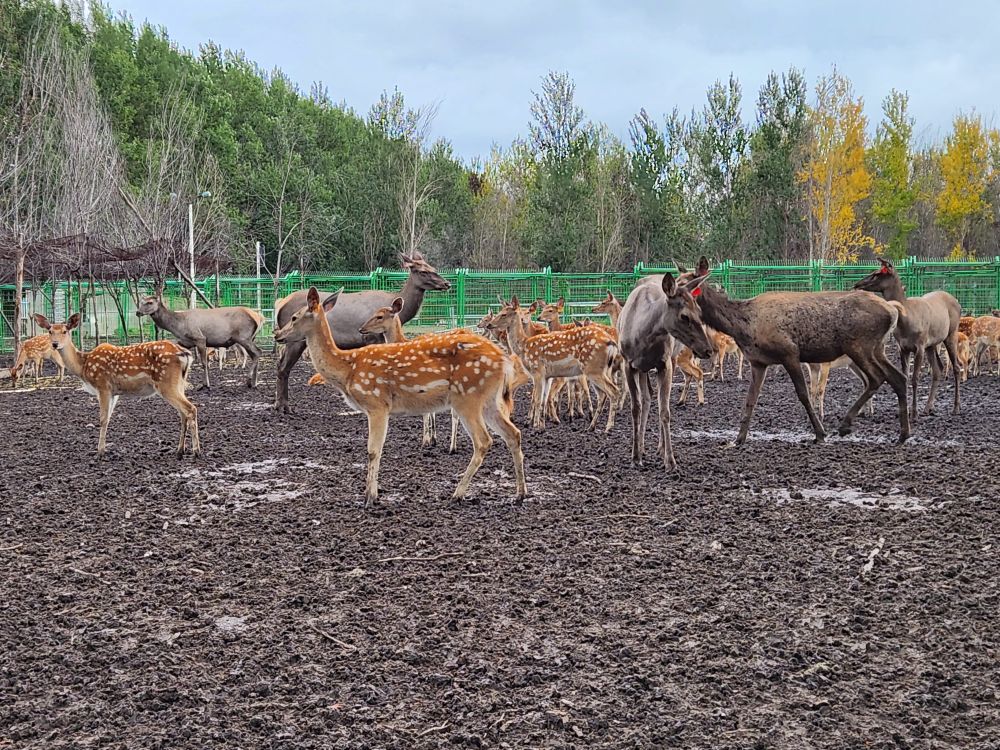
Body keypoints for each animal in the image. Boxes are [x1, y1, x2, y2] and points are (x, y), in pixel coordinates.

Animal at [33, 312, 201, 458]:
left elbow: (102, 419)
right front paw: (103, 449)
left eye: (65, 331)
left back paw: (196, 451)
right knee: (183, 413)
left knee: (190, 408)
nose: (55, 344)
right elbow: (108, 418)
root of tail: (186, 354)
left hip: (166, 382)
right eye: (49, 331)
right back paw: (180, 450)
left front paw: (100, 452)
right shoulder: (114, 392)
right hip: (179, 383)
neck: (83, 366)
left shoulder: (103, 385)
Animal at [274, 286, 524, 506]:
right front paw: (371, 495)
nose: (277, 335)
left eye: (294, 317)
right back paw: (520, 494)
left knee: (484, 441)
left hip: (468, 397)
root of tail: (503, 359)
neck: (347, 369)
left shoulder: (377, 403)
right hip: (489, 400)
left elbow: (373, 450)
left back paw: (457, 494)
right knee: (513, 433)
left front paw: (370, 498)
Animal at [684, 258, 912, 446]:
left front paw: (820, 433)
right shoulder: (758, 362)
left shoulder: (790, 354)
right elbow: (750, 399)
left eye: (688, 285)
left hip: (859, 346)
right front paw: (738, 439)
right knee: (898, 377)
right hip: (877, 349)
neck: (743, 327)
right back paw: (903, 434)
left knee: (877, 378)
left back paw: (845, 425)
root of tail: (893, 311)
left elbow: (803, 394)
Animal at [852, 260, 960, 420]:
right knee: (937, 369)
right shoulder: (902, 348)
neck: (906, 319)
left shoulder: (919, 346)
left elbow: (915, 379)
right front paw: (905, 411)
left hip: (951, 333)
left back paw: (955, 408)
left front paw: (914, 413)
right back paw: (928, 407)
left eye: (877, 274)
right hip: (931, 344)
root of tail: (958, 302)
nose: (857, 284)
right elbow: (905, 378)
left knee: (956, 367)